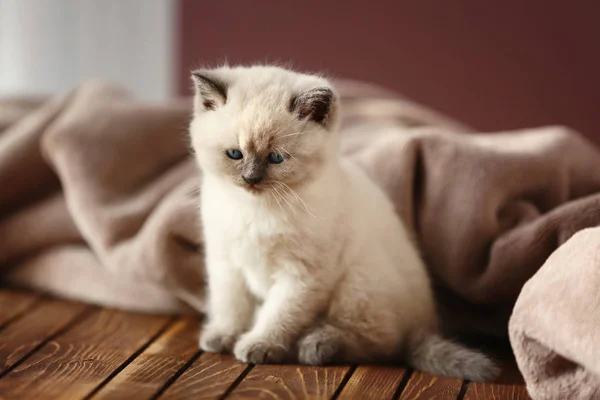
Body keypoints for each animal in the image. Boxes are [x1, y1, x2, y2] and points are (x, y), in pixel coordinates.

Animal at [190, 65, 500, 382]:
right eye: (235, 154)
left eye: (276, 158)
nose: (251, 179)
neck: (258, 209)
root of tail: (422, 329)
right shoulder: (226, 264)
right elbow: (230, 305)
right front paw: (222, 336)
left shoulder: (303, 276)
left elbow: (278, 315)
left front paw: (259, 344)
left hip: (357, 280)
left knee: (383, 343)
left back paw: (317, 345)